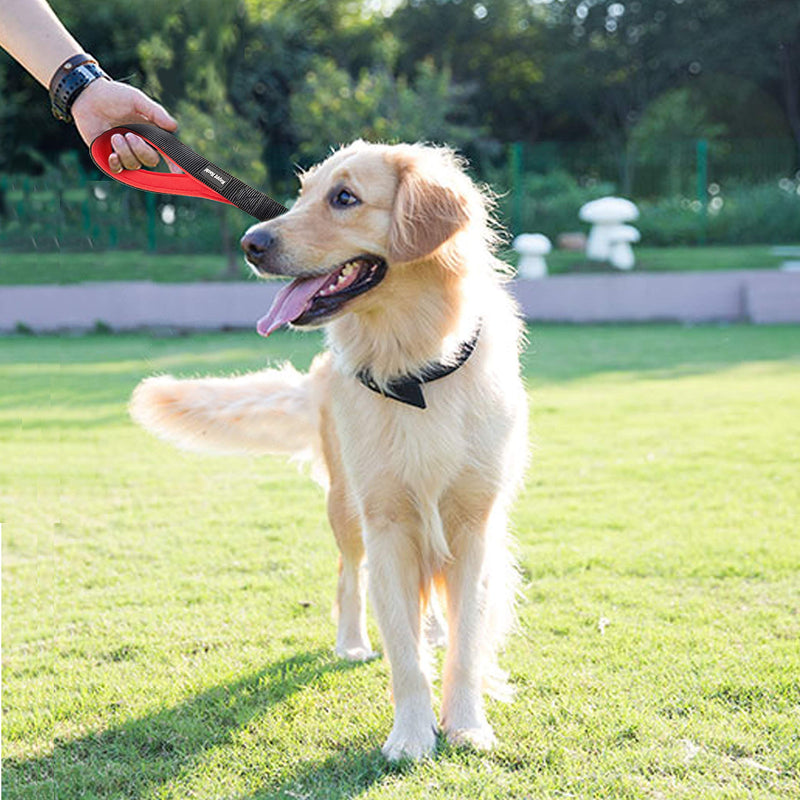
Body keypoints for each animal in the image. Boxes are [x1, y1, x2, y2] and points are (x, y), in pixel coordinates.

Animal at [130, 141, 528, 760]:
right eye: (302, 194)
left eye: (344, 198)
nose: (251, 243)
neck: (415, 366)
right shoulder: (387, 521)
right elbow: (404, 653)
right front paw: (411, 736)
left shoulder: (474, 524)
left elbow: (466, 642)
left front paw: (467, 725)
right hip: (346, 505)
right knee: (349, 577)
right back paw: (352, 642)